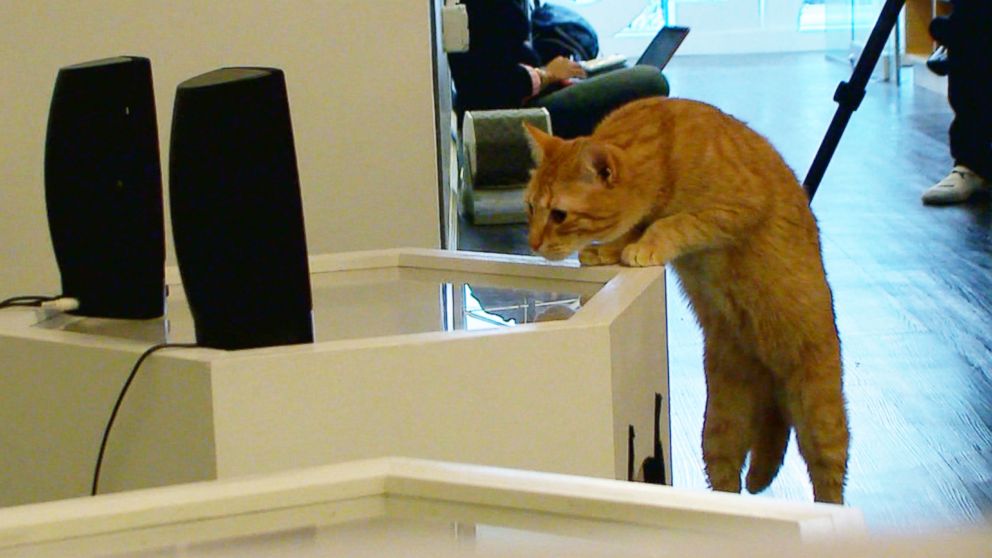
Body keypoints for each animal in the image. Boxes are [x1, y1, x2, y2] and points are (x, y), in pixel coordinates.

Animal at [524, 96, 848, 508]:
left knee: (828, 481)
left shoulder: (734, 209)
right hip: (721, 426)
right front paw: (609, 249)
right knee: (732, 475)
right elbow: (637, 226)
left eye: (559, 214)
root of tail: (770, 375)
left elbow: (671, 223)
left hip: (819, 414)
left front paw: (641, 245)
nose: (532, 243)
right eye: (530, 207)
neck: (667, 147)